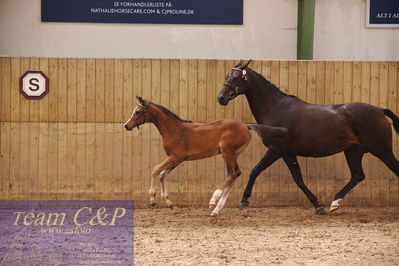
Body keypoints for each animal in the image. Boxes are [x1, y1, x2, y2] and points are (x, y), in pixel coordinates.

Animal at [123, 96, 290, 216]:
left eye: (137, 112)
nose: (126, 125)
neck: (173, 129)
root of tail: (245, 125)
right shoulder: (178, 159)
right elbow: (162, 174)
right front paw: (169, 203)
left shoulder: (175, 157)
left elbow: (155, 170)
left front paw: (152, 199)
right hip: (232, 155)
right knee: (236, 174)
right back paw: (217, 209)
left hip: (227, 153)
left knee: (232, 174)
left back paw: (213, 200)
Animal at [217, 60, 399, 214]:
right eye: (227, 76)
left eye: (235, 77)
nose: (221, 98)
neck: (275, 108)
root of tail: (379, 110)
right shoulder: (288, 153)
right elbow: (299, 179)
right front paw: (317, 206)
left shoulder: (276, 150)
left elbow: (255, 171)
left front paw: (244, 200)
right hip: (353, 151)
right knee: (357, 176)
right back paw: (334, 203)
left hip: (382, 151)